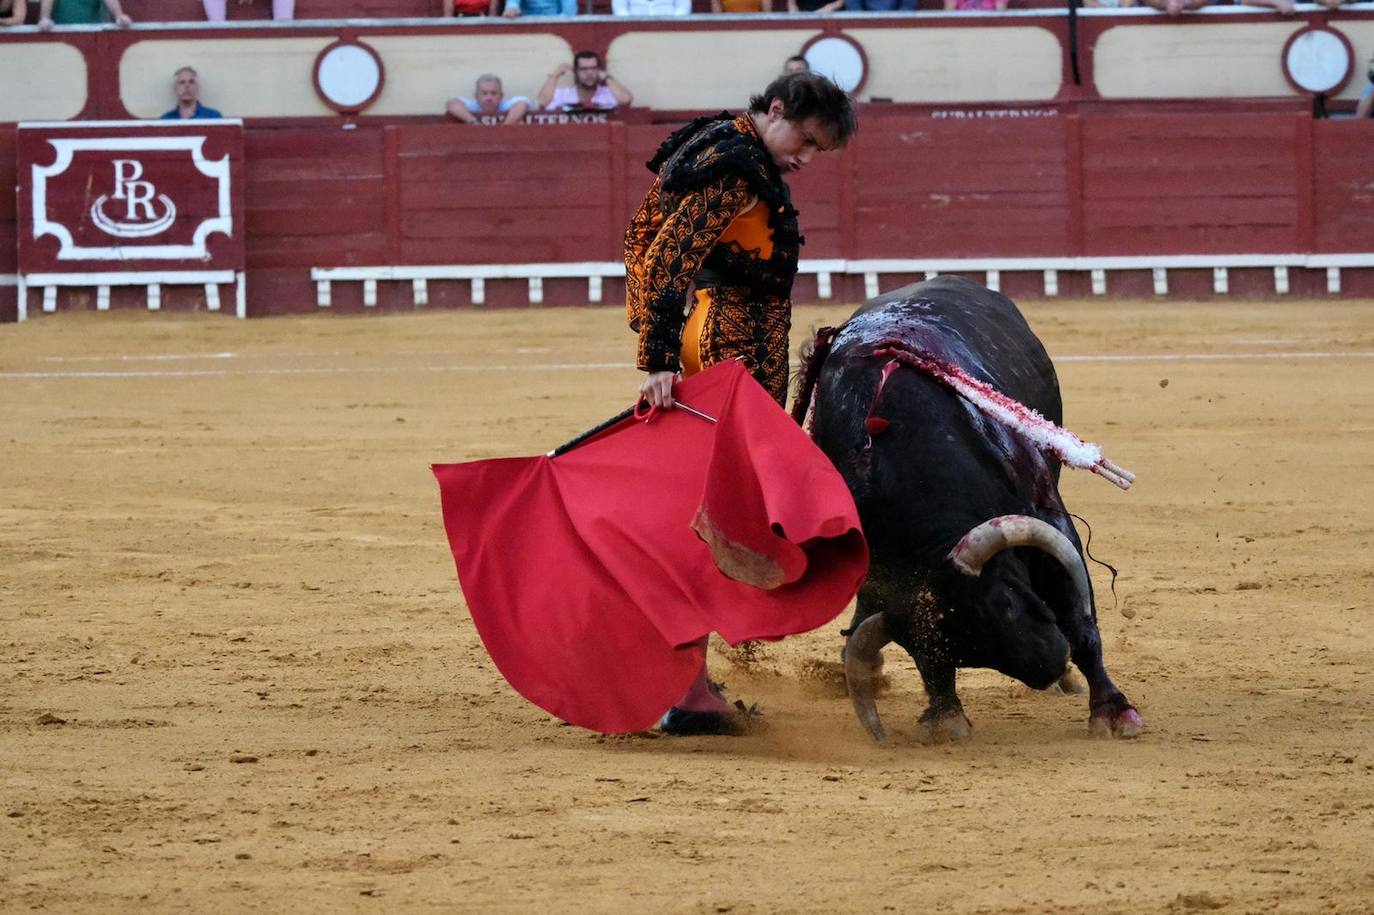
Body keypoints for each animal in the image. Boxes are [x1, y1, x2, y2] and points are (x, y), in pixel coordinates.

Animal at [802, 274, 1143, 736]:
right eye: (939, 651)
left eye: (1006, 604)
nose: (1050, 666)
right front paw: (946, 714)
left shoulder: (1048, 516)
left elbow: (1080, 619)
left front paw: (1113, 710)